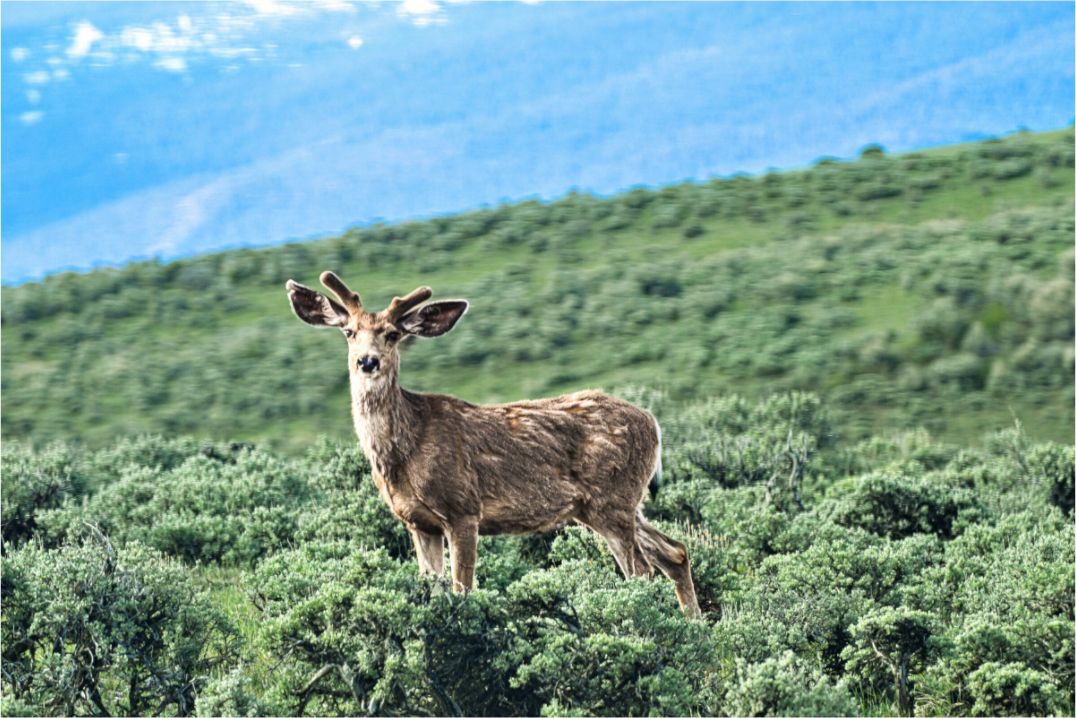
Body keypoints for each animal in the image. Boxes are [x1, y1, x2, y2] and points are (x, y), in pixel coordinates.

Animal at [286, 271, 701, 618]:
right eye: (349, 331)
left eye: (392, 333)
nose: (367, 361)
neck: (403, 452)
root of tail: (652, 421)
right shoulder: (418, 522)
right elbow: (433, 591)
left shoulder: (463, 508)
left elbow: (463, 590)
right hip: (612, 504)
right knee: (674, 551)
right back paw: (696, 627)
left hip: (610, 499)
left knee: (642, 572)